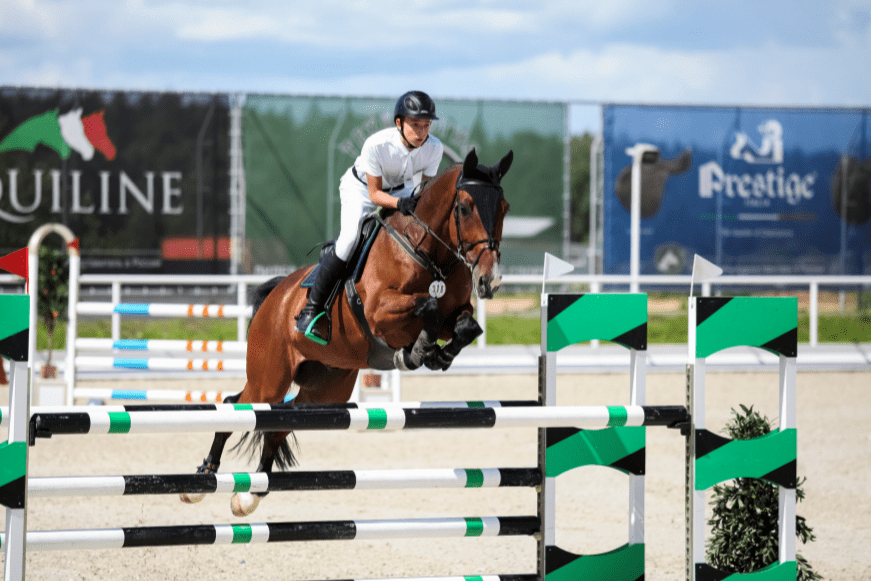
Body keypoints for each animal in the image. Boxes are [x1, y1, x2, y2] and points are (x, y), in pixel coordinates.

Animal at [181, 147, 516, 516]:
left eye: (504, 208)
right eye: (465, 207)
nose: (489, 280)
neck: (427, 253)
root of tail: (275, 296)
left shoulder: (453, 313)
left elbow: (468, 325)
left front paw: (438, 355)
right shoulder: (380, 312)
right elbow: (426, 307)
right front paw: (416, 352)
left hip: (324, 389)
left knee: (278, 423)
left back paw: (249, 495)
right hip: (270, 378)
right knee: (237, 406)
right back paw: (201, 479)